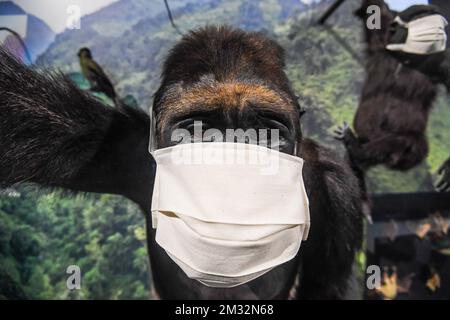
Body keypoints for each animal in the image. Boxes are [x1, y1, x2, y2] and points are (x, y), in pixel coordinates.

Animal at [0, 26, 362, 298]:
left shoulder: (336, 187)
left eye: (265, 132)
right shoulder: (114, 143)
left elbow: (324, 288)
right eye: (197, 129)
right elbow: (17, 108)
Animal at [336, 0, 450, 190]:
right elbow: (374, 8)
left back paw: (356, 150)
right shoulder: (381, 38)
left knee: (410, 142)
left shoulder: (440, 63)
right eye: (421, 17)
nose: (440, 28)